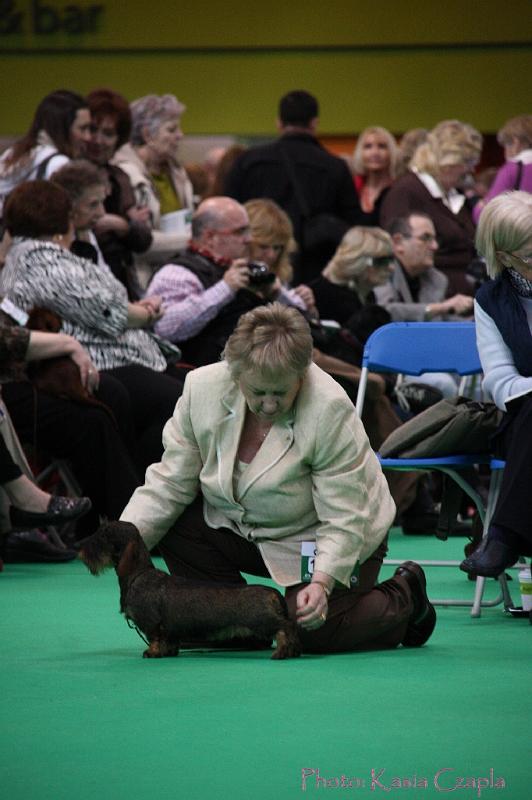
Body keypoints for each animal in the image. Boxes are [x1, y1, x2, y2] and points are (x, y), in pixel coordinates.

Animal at [79, 520, 304, 660]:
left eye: (104, 535)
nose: (79, 548)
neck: (139, 575)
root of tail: (273, 593)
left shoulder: (151, 623)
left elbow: (154, 639)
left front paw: (152, 652)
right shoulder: (169, 629)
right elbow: (169, 641)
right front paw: (167, 652)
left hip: (261, 621)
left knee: (286, 627)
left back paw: (282, 651)